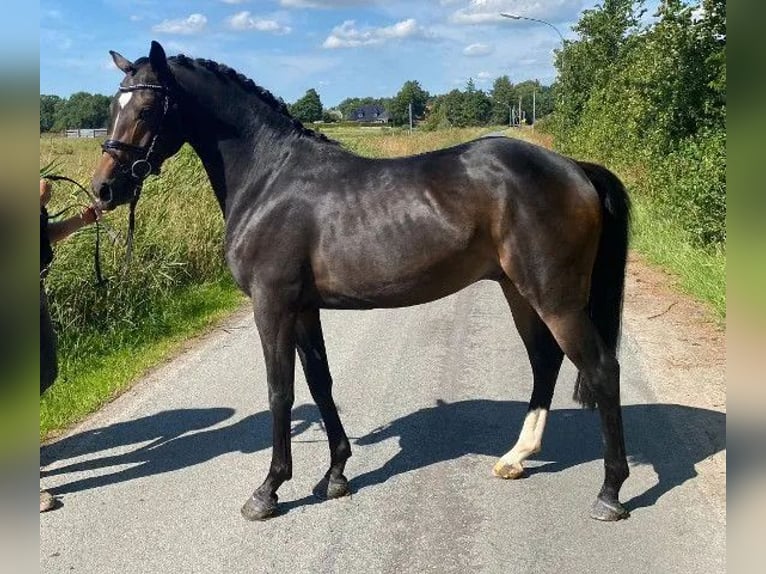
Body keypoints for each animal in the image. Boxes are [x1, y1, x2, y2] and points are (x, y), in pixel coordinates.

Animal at [90, 42, 632, 524]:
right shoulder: (304, 308)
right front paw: (335, 474)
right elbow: (320, 383)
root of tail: (575, 169)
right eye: (113, 105)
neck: (270, 179)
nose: (104, 189)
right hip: (518, 290)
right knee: (545, 361)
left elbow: (280, 391)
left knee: (601, 370)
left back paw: (610, 492)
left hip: (554, 297)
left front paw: (268, 490)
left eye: (146, 108)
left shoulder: (272, 306)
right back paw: (517, 458)